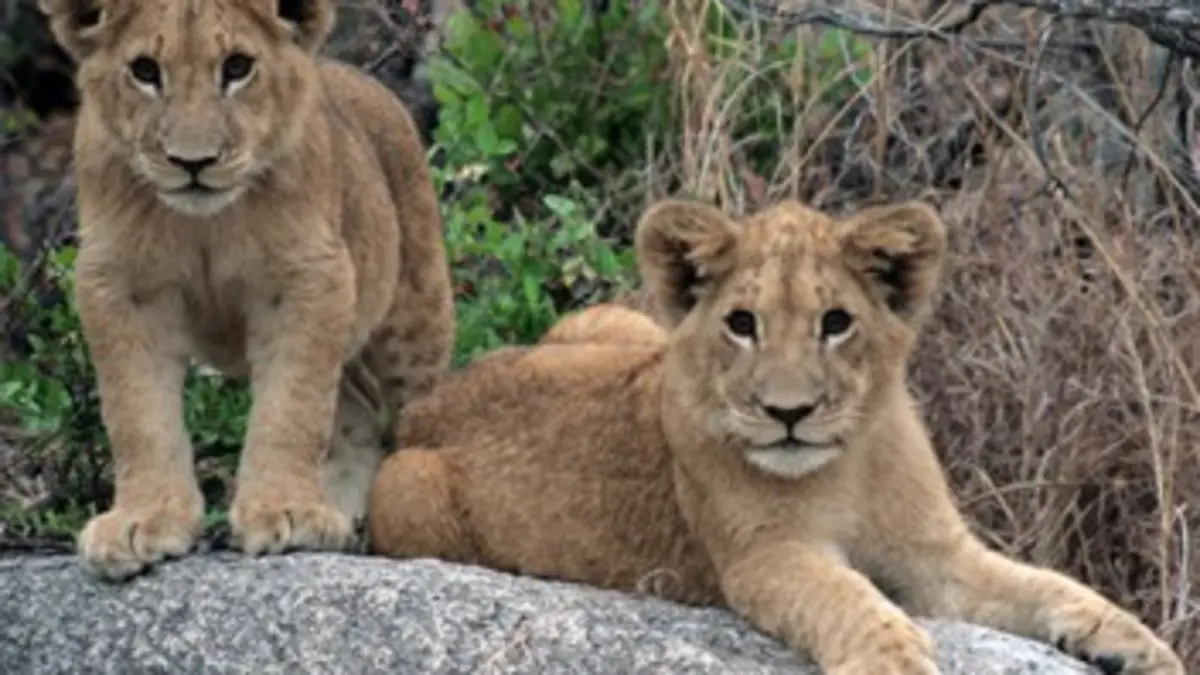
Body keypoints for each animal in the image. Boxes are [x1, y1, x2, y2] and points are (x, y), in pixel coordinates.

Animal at [38, 0, 455, 580]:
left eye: (237, 67)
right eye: (145, 71)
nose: (193, 163)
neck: (205, 225)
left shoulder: (308, 278)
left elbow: (291, 406)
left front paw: (286, 510)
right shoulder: (123, 285)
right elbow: (137, 414)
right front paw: (143, 519)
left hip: (414, 322)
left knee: (418, 407)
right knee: (356, 410)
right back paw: (342, 511)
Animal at [366, 197, 1183, 674]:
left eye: (836, 322)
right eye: (742, 323)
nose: (789, 411)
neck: (848, 463)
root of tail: (428, 402)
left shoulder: (937, 558)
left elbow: (1044, 582)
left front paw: (1138, 643)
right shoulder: (765, 555)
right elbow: (848, 600)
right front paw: (895, 662)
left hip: (606, 319)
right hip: (404, 491)